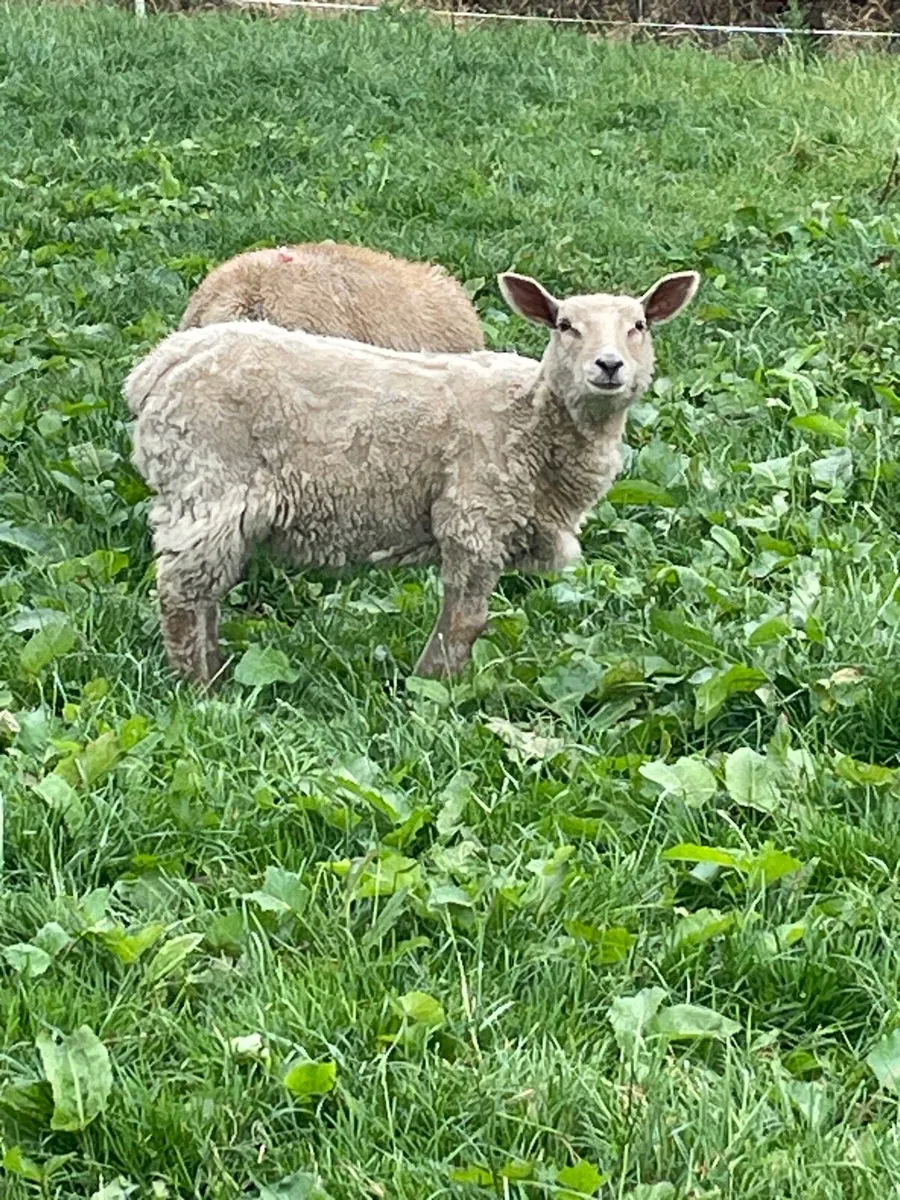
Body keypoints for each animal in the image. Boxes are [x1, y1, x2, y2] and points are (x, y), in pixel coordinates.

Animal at [126, 268, 700, 685]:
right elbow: (466, 620)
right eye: (565, 325)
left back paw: (217, 672)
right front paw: (434, 687)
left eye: (639, 325)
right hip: (208, 482)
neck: (532, 417)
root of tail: (161, 364)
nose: (609, 366)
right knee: (180, 594)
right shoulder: (474, 516)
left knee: (203, 593)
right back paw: (198, 688)